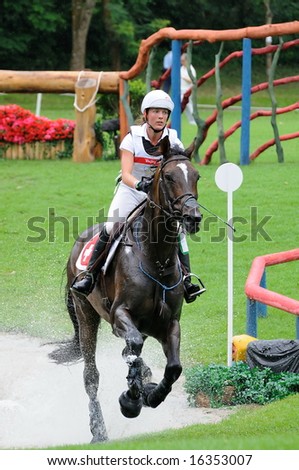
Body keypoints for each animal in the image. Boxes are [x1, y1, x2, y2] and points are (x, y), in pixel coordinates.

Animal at [50, 137, 203, 444]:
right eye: (169, 177)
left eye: (196, 176)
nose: (193, 217)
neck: (156, 257)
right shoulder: (120, 315)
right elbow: (132, 347)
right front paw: (131, 400)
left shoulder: (170, 324)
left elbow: (173, 367)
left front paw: (150, 394)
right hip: (86, 314)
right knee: (91, 377)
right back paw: (99, 431)